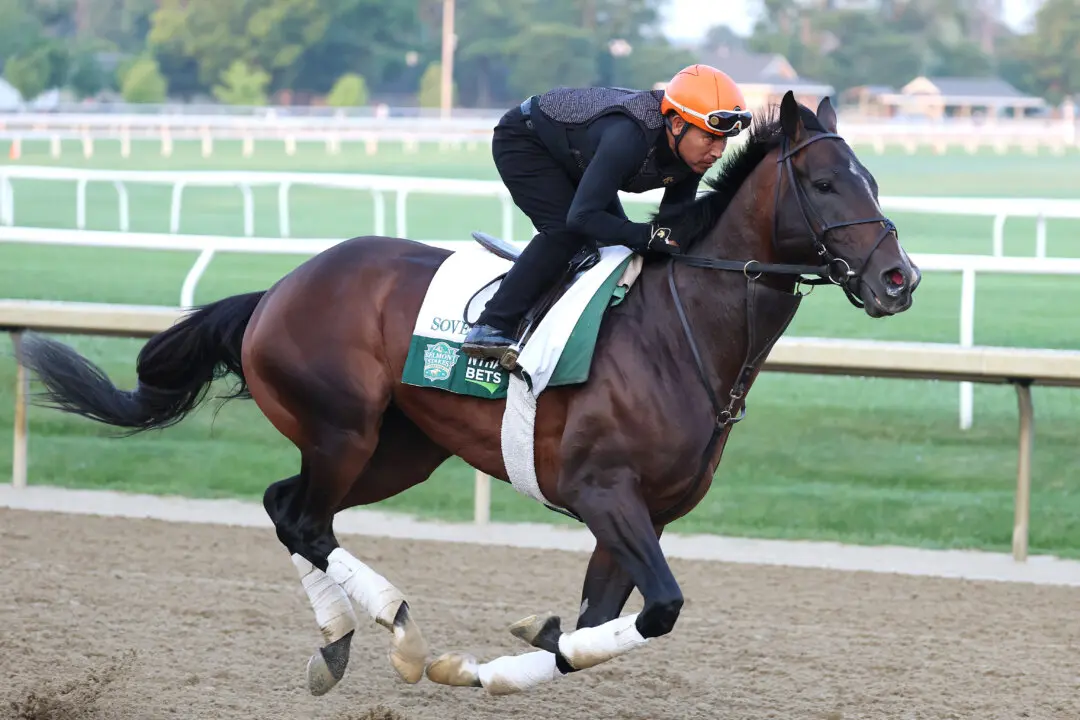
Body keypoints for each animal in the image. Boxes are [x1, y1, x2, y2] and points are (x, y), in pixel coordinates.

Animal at [16, 91, 920, 697]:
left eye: (874, 178)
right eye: (828, 184)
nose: (900, 280)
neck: (678, 331)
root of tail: (278, 289)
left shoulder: (644, 515)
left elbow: (592, 626)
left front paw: (510, 657)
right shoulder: (603, 494)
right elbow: (658, 609)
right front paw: (481, 660)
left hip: (400, 449)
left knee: (286, 506)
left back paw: (337, 641)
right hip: (342, 429)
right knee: (304, 517)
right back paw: (394, 627)